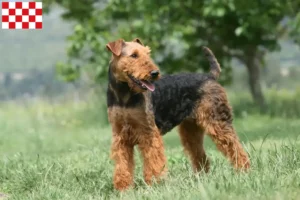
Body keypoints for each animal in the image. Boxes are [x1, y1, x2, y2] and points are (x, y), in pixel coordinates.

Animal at [106, 38, 251, 191]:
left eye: (147, 53)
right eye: (134, 55)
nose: (155, 73)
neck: (124, 96)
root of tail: (209, 76)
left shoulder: (149, 133)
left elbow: (153, 160)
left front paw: (156, 183)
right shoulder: (121, 137)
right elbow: (122, 165)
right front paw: (123, 188)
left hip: (218, 122)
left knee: (235, 147)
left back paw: (244, 171)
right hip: (191, 130)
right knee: (200, 156)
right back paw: (201, 178)